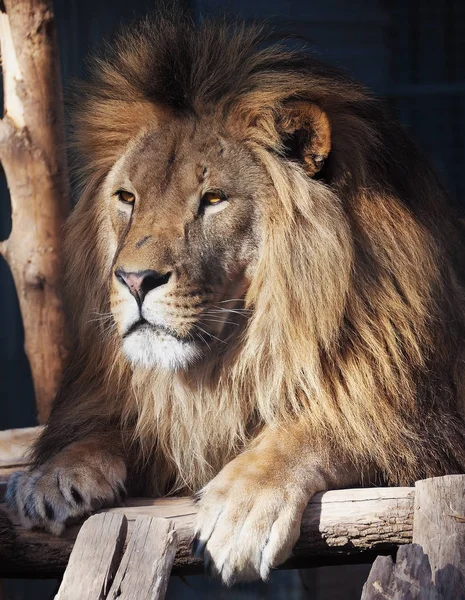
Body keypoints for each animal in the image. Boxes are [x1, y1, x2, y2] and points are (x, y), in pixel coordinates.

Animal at [5, 14, 464, 584]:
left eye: (214, 199)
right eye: (127, 198)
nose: (134, 280)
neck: (233, 356)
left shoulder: (430, 423)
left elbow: (321, 424)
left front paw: (240, 508)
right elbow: (120, 426)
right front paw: (51, 474)